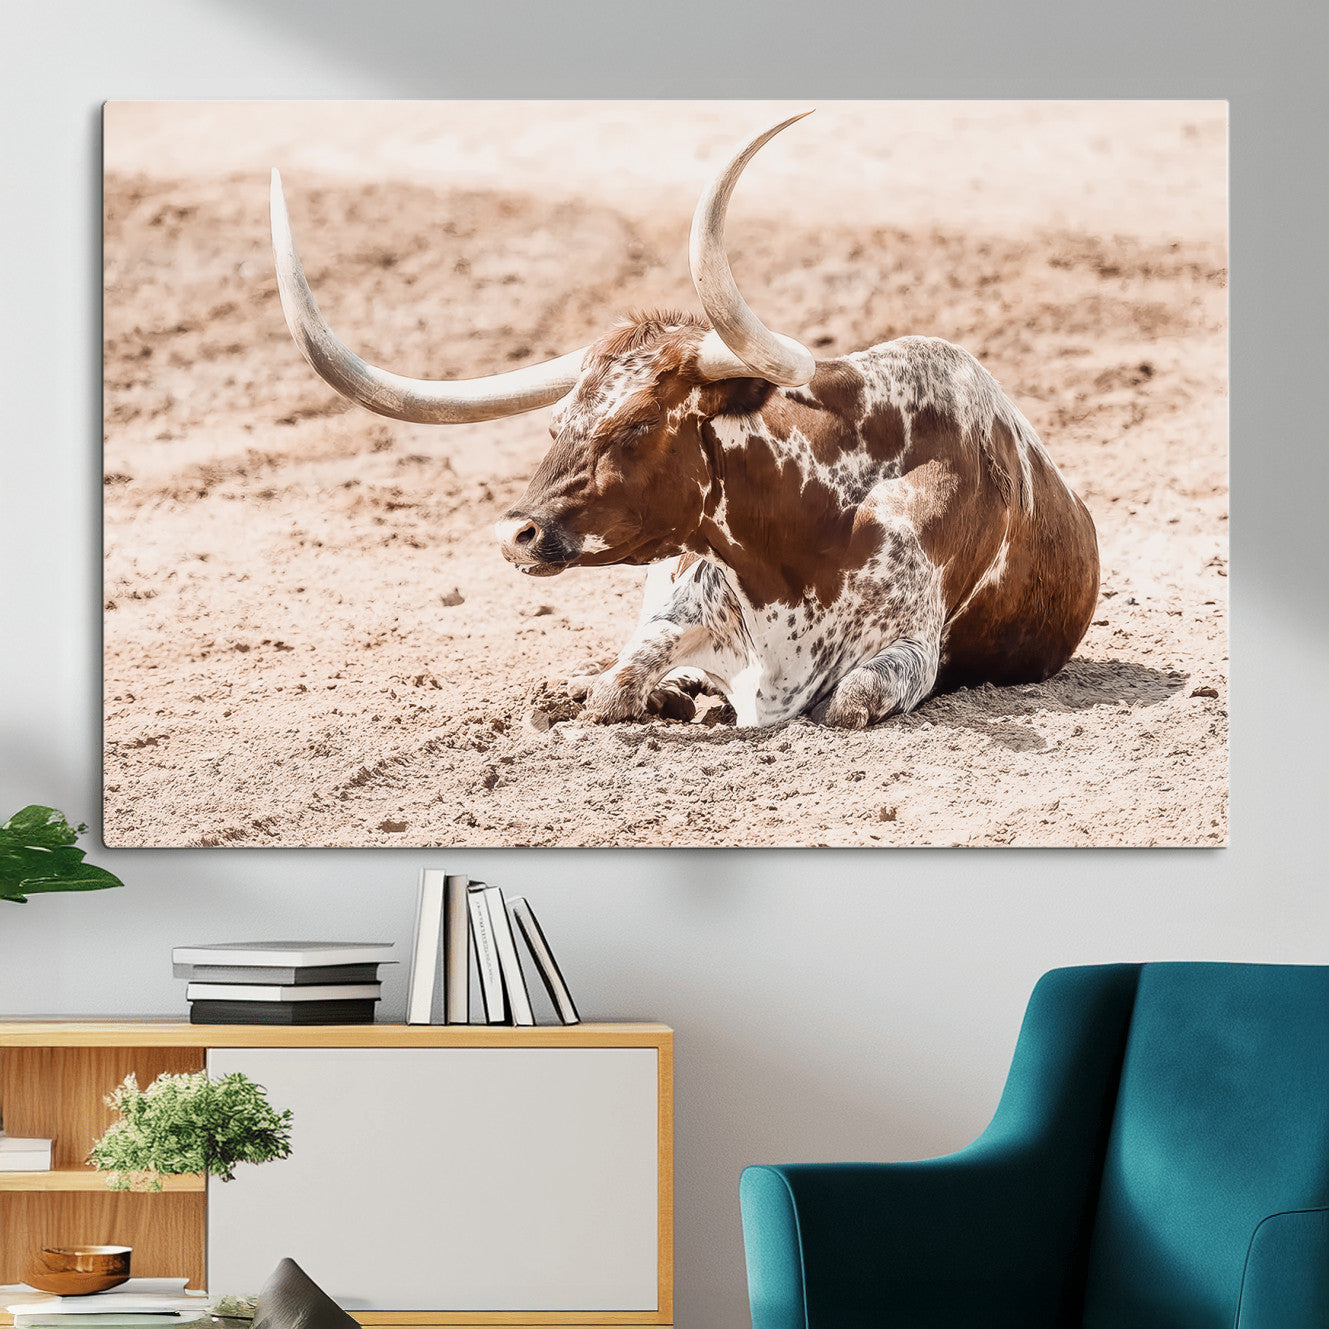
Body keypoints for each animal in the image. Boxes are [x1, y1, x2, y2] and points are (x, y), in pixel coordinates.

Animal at [270, 111, 1098, 729]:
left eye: (637, 425)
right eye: (555, 424)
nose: (516, 534)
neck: (802, 539)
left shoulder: (907, 652)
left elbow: (845, 702)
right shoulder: (675, 609)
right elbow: (613, 686)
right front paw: (643, 694)